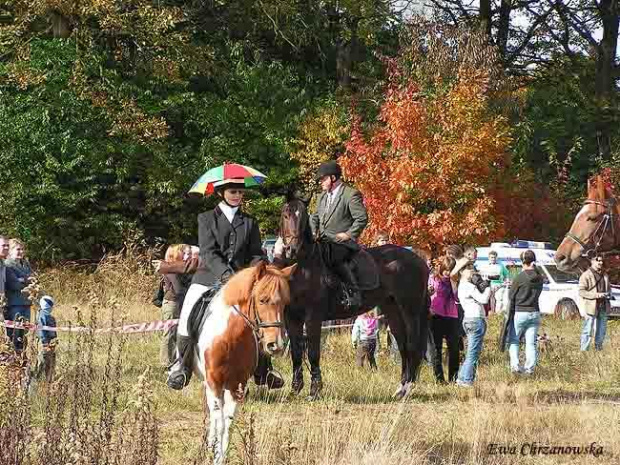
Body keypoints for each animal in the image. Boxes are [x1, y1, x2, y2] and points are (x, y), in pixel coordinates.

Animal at [196, 260, 298, 464]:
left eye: (285, 303)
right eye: (262, 300)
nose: (276, 344)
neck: (230, 339)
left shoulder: (237, 385)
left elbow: (228, 423)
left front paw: (221, 456)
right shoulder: (214, 382)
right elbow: (219, 421)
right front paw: (215, 455)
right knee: (213, 415)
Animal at [278, 198, 428, 398]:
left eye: (303, 218)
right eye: (285, 215)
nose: (291, 249)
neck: (303, 267)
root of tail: (419, 259)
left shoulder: (313, 318)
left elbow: (313, 353)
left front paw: (315, 390)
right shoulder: (292, 318)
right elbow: (296, 352)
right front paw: (295, 389)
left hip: (410, 310)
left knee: (412, 345)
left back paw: (407, 389)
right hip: (392, 310)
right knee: (403, 345)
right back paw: (400, 388)